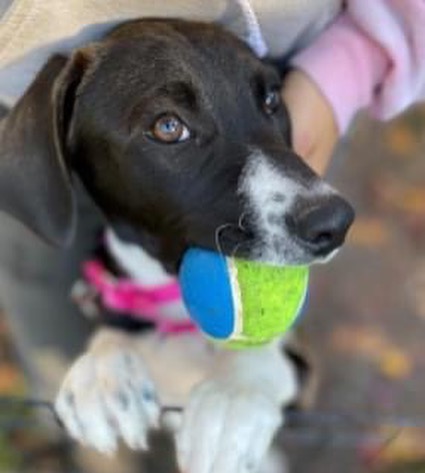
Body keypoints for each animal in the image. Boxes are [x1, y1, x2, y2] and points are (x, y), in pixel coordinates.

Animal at [0, 18, 352, 472]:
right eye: (168, 127)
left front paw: (233, 396)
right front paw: (103, 371)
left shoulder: (305, 374)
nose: (335, 222)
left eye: (272, 99)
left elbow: (262, 355)